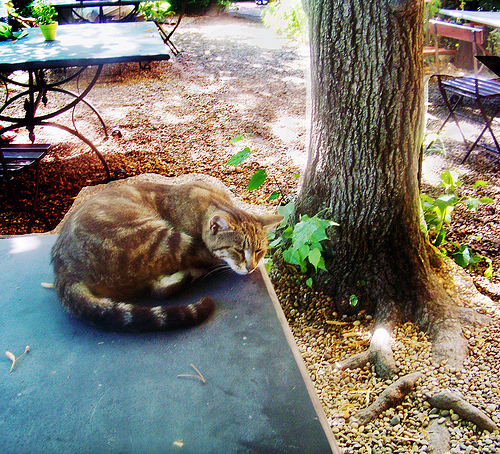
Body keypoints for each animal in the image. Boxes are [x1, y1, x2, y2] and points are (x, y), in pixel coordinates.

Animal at [52, 179, 284, 332]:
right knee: (160, 288)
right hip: (160, 237)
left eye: (259, 250)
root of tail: (63, 271)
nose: (251, 267)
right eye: (237, 250)